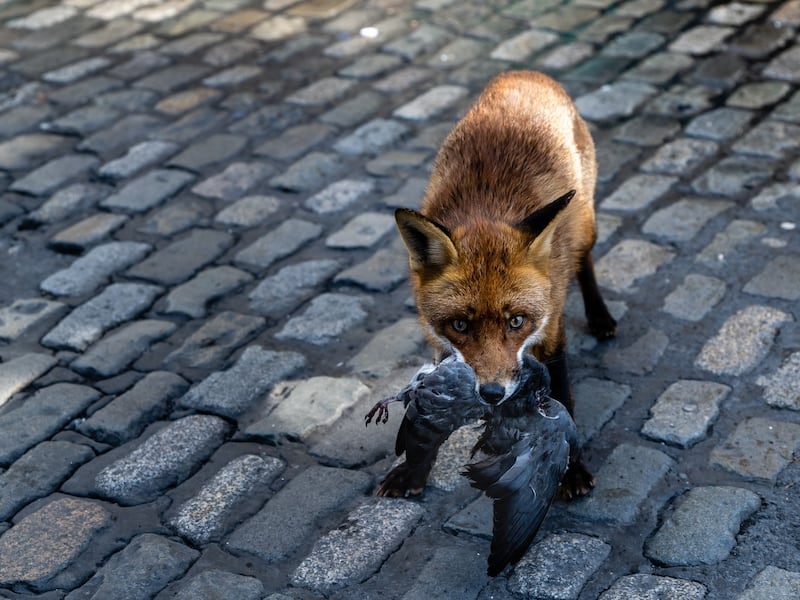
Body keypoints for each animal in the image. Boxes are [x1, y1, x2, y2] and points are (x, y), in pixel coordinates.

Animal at [385, 70, 617, 500]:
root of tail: (523, 74)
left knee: (584, 262)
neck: (485, 213)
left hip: (584, 226)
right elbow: (429, 410)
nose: (492, 394)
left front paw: (572, 471)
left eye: (517, 321)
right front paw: (413, 470)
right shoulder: (441, 344)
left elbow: (563, 398)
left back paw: (600, 317)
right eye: (460, 324)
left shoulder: (551, 329)